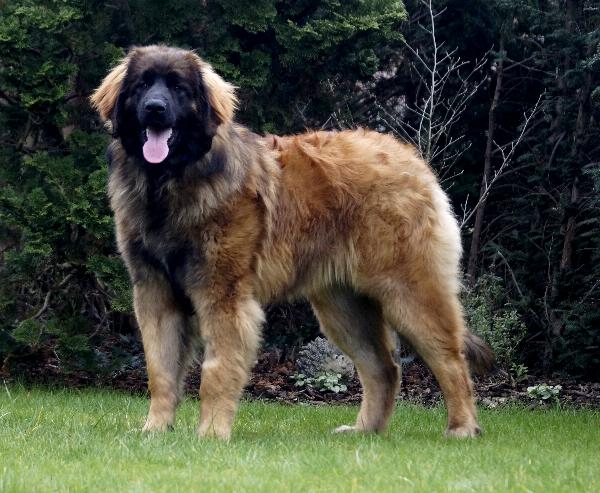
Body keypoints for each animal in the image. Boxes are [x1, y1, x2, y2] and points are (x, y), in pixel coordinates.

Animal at [91, 45, 493, 439]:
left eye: (178, 88)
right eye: (143, 85)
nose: (155, 109)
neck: (169, 184)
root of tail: (410, 157)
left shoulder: (224, 296)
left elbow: (216, 371)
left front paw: (211, 434)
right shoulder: (155, 294)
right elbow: (160, 371)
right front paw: (155, 431)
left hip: (409, 291)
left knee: (450, 359)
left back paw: (462, 427)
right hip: (343, 306)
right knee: (384, 368)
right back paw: (364, 430)